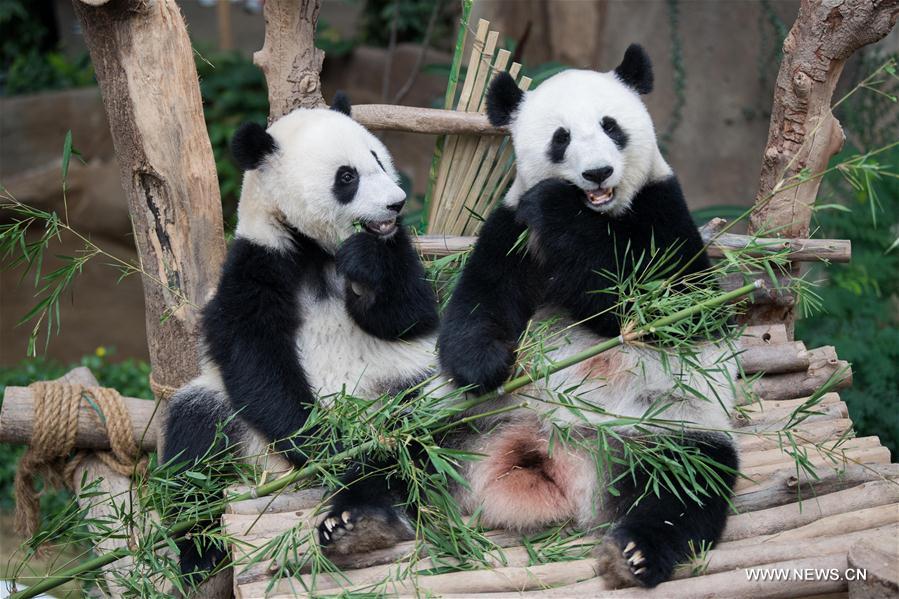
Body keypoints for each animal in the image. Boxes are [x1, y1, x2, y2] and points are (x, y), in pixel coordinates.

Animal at [162, 94, 439, 582]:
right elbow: (254, 357)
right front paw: (326, 444)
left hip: (401, 386)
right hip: (231, 420)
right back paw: (199, 551)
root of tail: (267, 472)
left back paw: (361, 516)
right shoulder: (258, 263)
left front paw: (368, 263)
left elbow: (412, 314)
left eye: (377, 159)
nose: (396, 204)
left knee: (422, 430)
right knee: (191, 445)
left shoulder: (399, 253)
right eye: (346, 177)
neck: (316, 250)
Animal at [437, 45, 740, 588]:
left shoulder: (664, 211)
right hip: (469, 419)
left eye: (610, 125)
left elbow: (666, 305)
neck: (600, 213)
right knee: (396, 453)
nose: (598, 173)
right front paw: (484, 364)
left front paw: (558, 207)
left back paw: (633, 554)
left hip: (672, 430)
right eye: (561, 137)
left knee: (686, 487)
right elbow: (481, 296)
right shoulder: (512, 226)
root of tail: (556, 459)